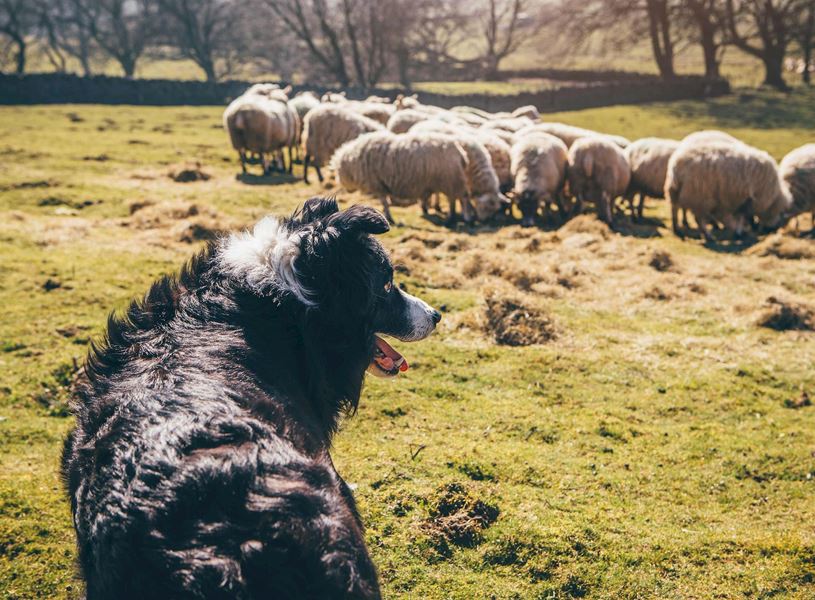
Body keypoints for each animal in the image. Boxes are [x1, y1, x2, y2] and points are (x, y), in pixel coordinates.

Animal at [331, 130, 508, 225]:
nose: (485, 221)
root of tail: (460, 152)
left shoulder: (378, 184)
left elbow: (384, 202)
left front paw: (389, 217)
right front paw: (424, 208)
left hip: (451, 179)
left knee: (461, 197)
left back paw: (463, 217)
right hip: (450, 179)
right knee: (458, 197)